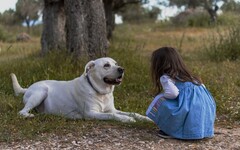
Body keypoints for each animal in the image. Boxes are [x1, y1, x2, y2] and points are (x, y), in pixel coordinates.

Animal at [11, 56, 151, 122]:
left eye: (116, 64)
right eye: (106, 65)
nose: (122, 69)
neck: (100, 92)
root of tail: (27, 88)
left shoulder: (113, 109)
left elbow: (132, 113)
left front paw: (145, 118)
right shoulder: (91, 113)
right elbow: (112, 115)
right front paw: (126, 119)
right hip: (41, 92)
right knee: (21, 112)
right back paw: (29, 115)